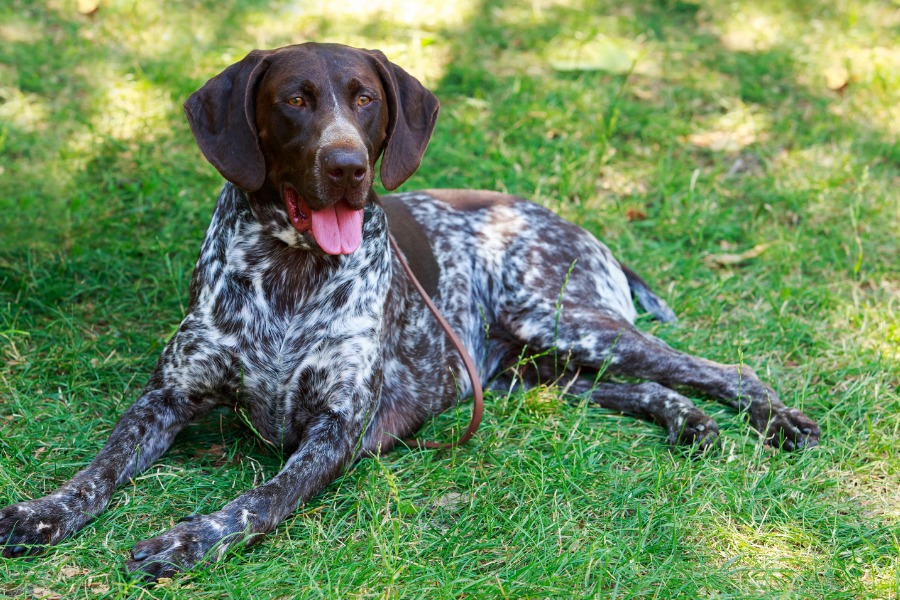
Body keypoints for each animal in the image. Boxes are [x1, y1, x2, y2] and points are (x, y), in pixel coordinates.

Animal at [0, 42, 820, 576]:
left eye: (364, 98)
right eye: (293, 100)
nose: (347, 167)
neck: (287, 272)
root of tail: (581, 231)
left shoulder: (335, 430)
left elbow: (258, 500)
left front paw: (188, 539)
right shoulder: (166, 398)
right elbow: (99, 468)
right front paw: (43, 511)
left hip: (563, 321)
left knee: (721, 368)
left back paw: (778, 420)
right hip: (536, 372)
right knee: (645, 387)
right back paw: (690, 423)